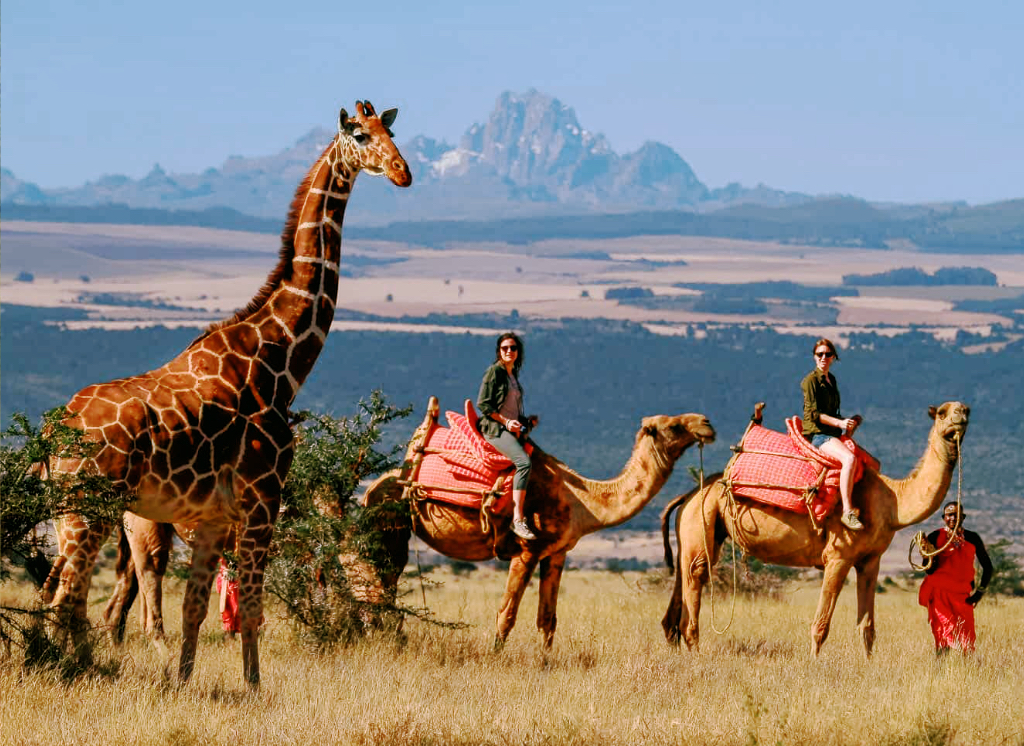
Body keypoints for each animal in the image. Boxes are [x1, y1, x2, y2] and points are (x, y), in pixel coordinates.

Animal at [41, 100, 411, 687]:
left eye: (392, 132)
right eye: (359, 135)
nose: (402, 172)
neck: (277, 361)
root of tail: (53, 428)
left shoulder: (216, 516)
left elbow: (196, 608)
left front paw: (183, 682)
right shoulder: (263, 500)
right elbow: (253, 607)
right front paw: (254, 688)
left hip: (69, 513)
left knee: (64, 594)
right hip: (88, 511)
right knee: (68, 597)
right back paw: (69, 672)